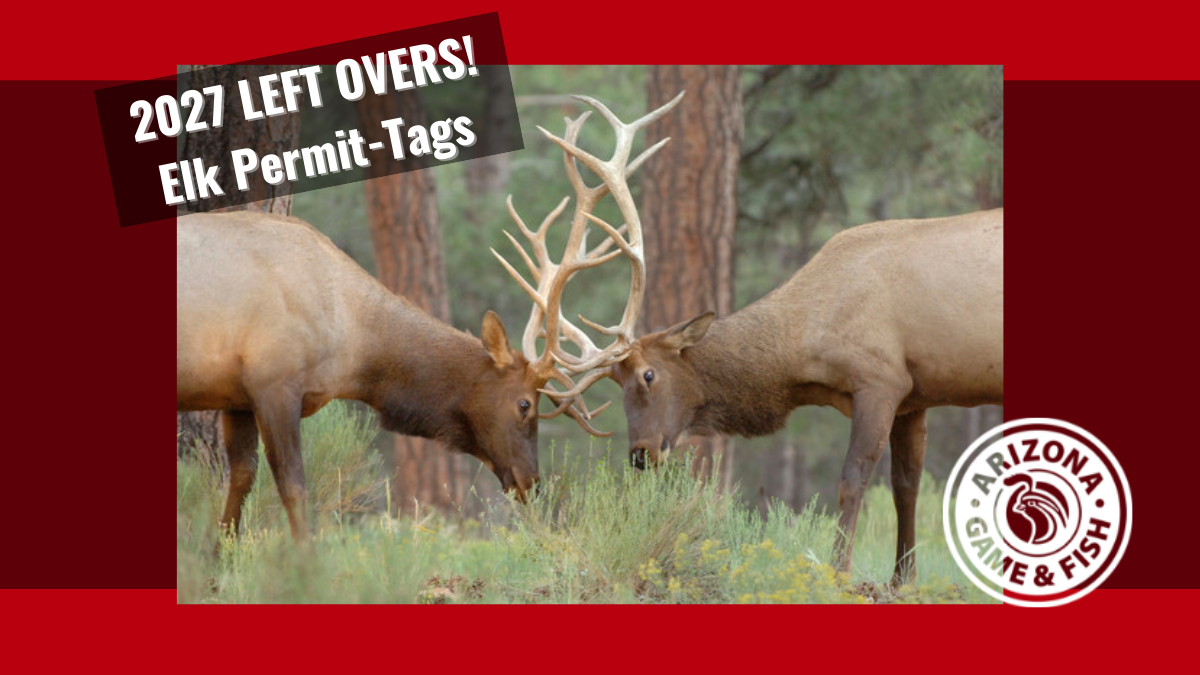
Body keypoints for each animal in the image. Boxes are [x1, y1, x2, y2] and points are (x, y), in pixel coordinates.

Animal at [177, 94, 683, 545]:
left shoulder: (237, 395)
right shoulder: (275, 382)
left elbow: (239, 483)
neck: (349, 340)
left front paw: (221, 565)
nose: (532, 484)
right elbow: (293, 489)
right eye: (525, 404)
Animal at [505, 103, 1003, 584]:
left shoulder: (880, 380)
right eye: (615, 382)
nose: (640, 455)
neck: (803, 351)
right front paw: (903, 579)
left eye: (649, 374)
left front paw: (839, 571)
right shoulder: (914, 395)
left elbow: (853, 480)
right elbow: (907, 486)